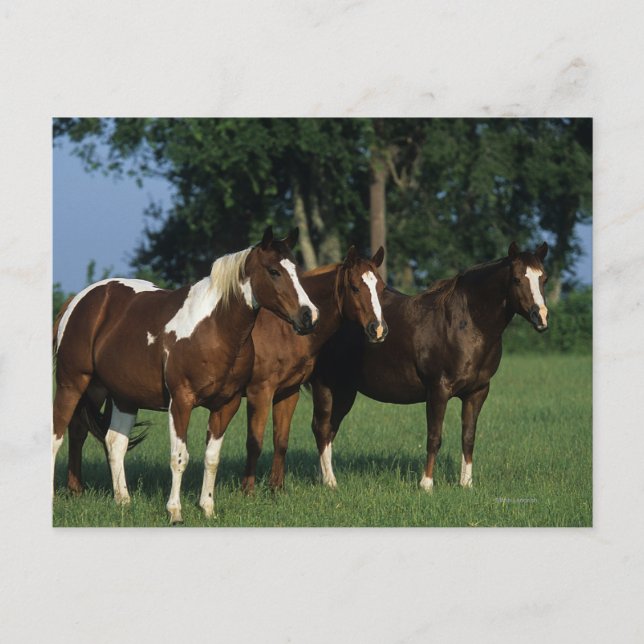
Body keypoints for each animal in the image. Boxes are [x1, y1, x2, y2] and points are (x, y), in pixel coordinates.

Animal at [52, 227, 318, 523]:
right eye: (273, 271)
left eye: (296, 269)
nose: (309, 316)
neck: (214, 327)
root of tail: (77, 301)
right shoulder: (181, 402)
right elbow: (179, 457)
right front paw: (175, 512)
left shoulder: (227, 405)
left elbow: (211, 458)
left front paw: (208, 509)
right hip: (72, 384)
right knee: (58, 436)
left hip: (120, 396)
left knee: (111, 441)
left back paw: (120, 500)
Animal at [239, 246, 388, 492]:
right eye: (355, 287)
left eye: (382, 288)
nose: (378, 330)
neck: (282, 329)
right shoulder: (259, 392)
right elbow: (254, 442)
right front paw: (247, 491)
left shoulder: (287, 391)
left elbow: (281, 440)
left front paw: (276, 488)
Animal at [301, 241, 549, 491]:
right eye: (517, 279)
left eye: (544, 279)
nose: (541, 317)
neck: (465, 324)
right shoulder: (438, 390)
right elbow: (434, 437)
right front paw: (426, 484)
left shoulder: (477, 392)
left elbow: (468, 437)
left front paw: (466, 483)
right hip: (325, 386)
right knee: (321, 428)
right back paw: (330, 481)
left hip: (345, 391)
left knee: (330, 430)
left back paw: (324, 477)